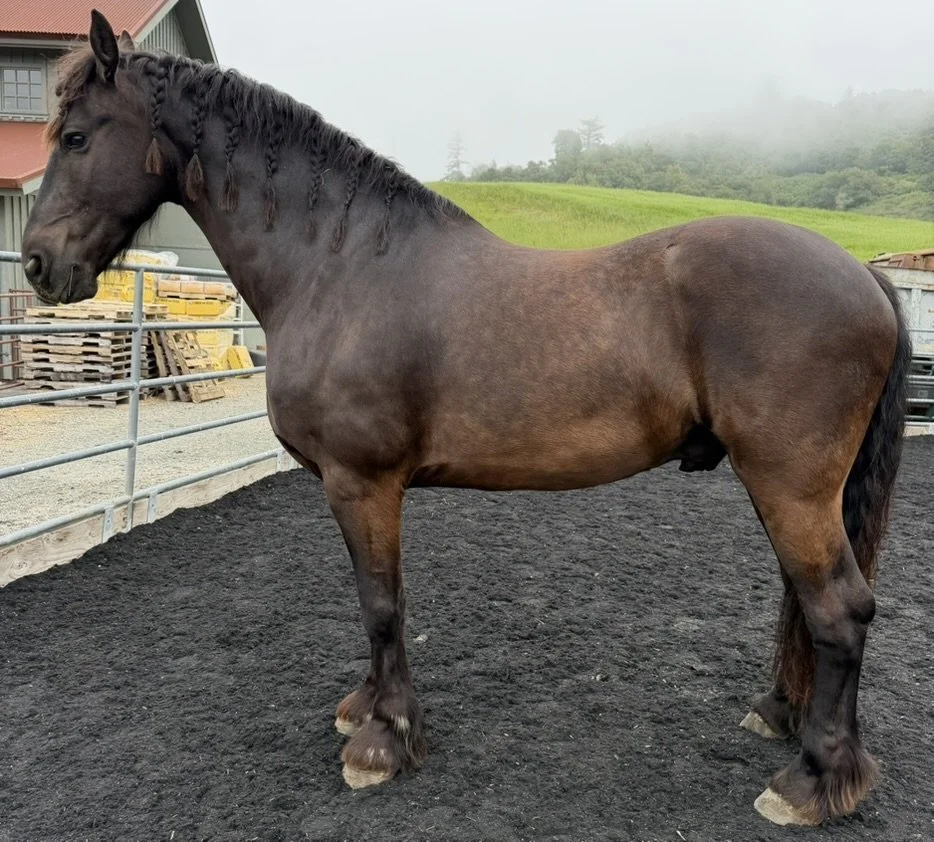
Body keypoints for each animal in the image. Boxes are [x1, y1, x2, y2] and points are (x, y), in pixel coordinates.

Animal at [20, 12, 911, 827]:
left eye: (76, 135)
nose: (36, 264)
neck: (342, 266)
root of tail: (862, 275)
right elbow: (375, 604)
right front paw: (365, 707)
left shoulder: (363, 484)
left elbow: (382, 604)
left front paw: (384, 741)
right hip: (793, 491)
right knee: (805, 603)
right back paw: (782, 718)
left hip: (790, 484)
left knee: (840, 611)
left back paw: (812, 781)